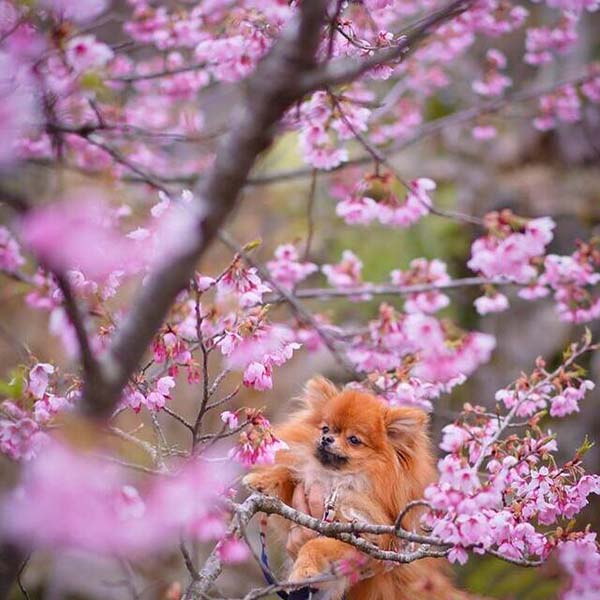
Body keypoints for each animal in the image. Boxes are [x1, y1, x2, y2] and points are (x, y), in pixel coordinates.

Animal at [241, 378, 472, 596]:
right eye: (325, 428)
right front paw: (263, 480)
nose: (326, 438)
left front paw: (304, 571)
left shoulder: (366, 538)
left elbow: (315, 544)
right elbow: (287, 474)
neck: (337, 480)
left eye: (353, 440)